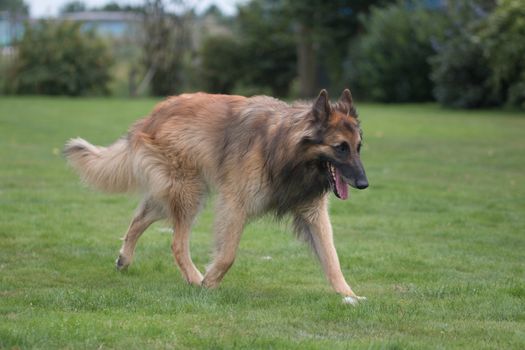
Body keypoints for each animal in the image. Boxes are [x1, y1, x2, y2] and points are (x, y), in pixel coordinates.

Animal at [64, 89, 368, 304]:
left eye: (358, 147)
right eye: (340, 147)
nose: (364, 184)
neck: (285, 149)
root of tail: (152, 116)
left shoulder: (312, 212)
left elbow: (331, 257)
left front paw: (349, 294)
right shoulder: (234, 204)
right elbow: (228, 254)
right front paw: (209, 282)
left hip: (176, 192)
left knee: (139, 219)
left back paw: (124, 259)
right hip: (189, 193)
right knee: (176, 243)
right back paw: (193, 277)